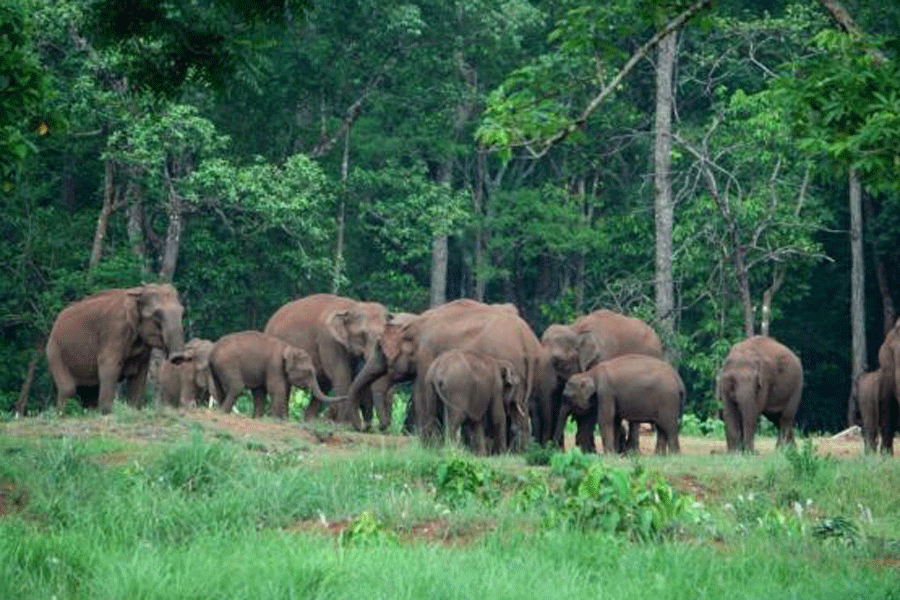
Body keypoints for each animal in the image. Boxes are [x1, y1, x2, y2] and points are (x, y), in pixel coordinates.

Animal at [47, 282, 186, 412]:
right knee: (68, 390)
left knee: (90, 392)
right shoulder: (114, 330)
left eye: (182, 312)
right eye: (157, 315)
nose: (178, 358)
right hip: (55, 352)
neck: (138, 292)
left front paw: (133, 409)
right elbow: (109, 368)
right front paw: (107, 412)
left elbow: (139, 376)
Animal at [209, 328, 342, 422]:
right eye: (309, 371)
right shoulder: (274, 365)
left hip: (216, 368)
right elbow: (277, 389)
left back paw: (219, 411)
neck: (289, 347)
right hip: (228, 364)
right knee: (236, 387)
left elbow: (260, 391)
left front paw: (259, 418)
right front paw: (275, 420)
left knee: (218, 388)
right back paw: (223, 412)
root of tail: (213, 350)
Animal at [260, 292, 386, 428]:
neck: (352, 306)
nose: (367, 426)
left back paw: (310, 421)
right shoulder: (328, 340)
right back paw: (286, 419)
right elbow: (342, 375)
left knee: (323, 384)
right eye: (363, 334)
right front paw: (344, 424)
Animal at [348, 300, 536, 450]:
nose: (366, 427)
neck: (415, 323)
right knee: (518, 410)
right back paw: (520, 452)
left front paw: (426, 442)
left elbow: (420, 393)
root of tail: (527, 341)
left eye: (380, 350)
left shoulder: (426, 354)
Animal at [536, 310, 664, 450]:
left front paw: (587, 450)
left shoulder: (602, 359)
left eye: (559, 362)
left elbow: (591, 407)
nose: (549, 447)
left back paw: (631, 451)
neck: (576, 330)